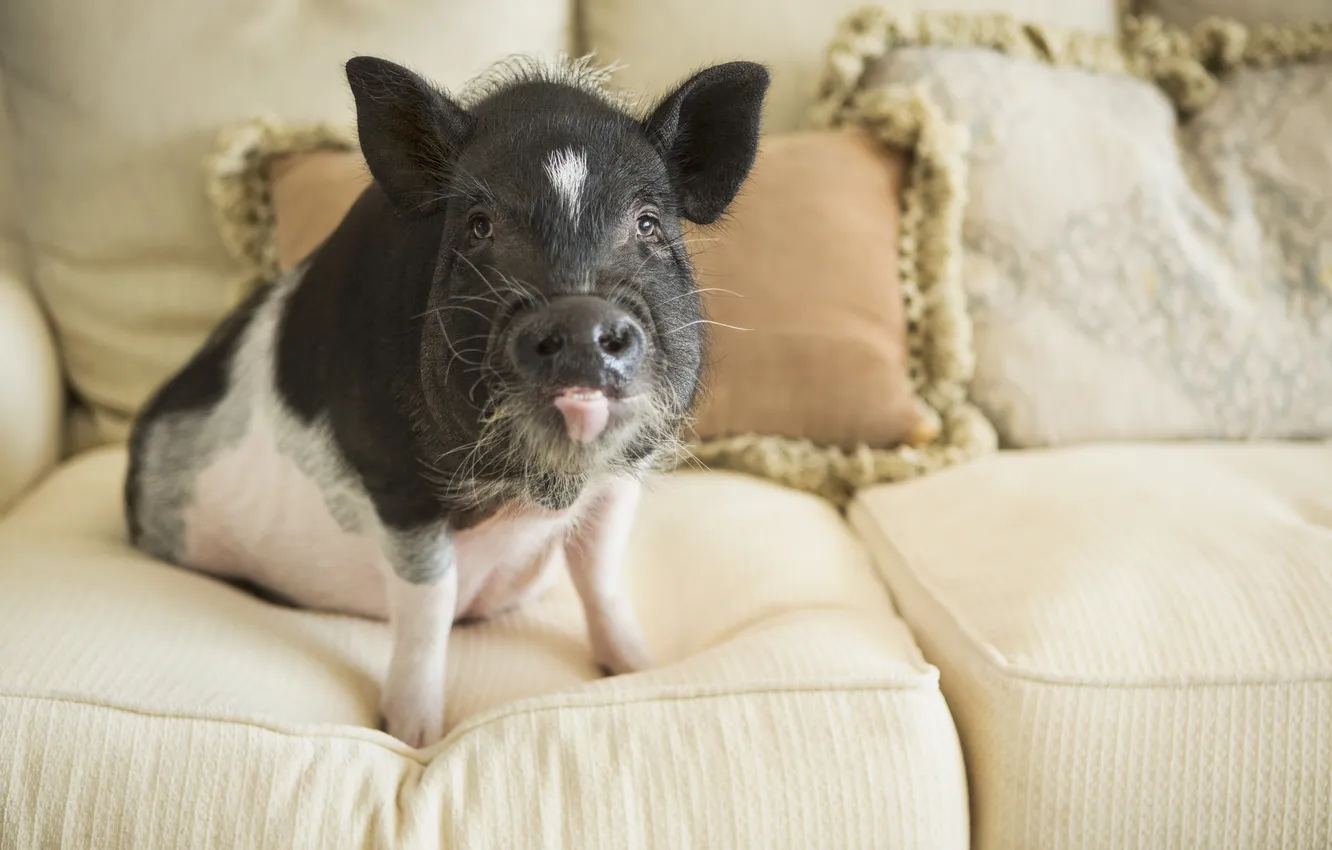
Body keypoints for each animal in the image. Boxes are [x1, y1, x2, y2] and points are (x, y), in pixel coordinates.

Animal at [123, 55, 769, 747]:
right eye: (478, 225)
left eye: (648, 222)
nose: (579, 317)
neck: (533, 494)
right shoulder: (394, 479)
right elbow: (429, 603)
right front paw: (414, 736)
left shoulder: (624, 473)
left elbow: (601, 576)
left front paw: (643, 668)